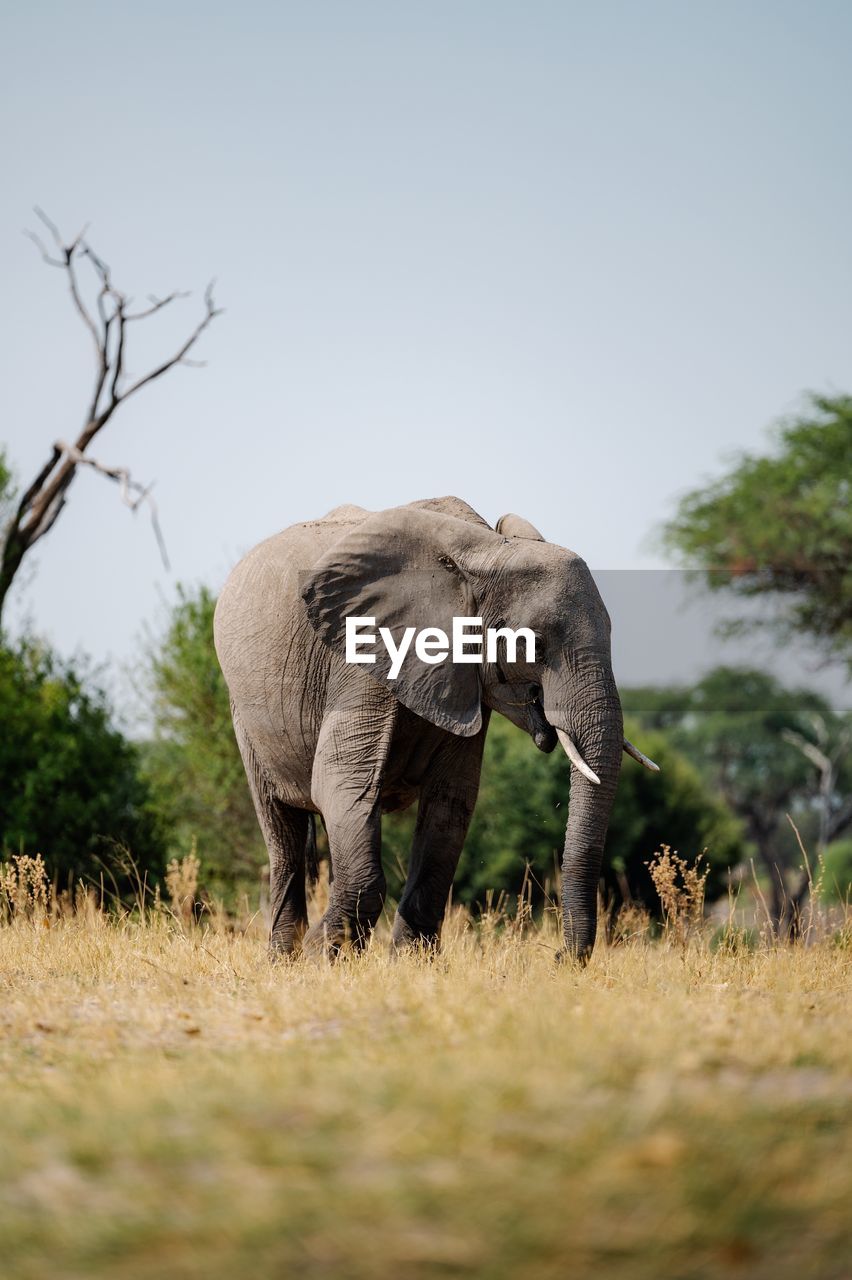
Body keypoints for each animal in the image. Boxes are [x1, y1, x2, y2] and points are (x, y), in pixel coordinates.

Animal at [213, 494, 654, 962]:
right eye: (532, 644)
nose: (556, 957)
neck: (486, 552)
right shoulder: (360, 659)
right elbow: (342, 785)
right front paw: (322, 957)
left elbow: (451, 802)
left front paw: (410, 963)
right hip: (244, 710)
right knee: (283, 828)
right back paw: (284, 957)